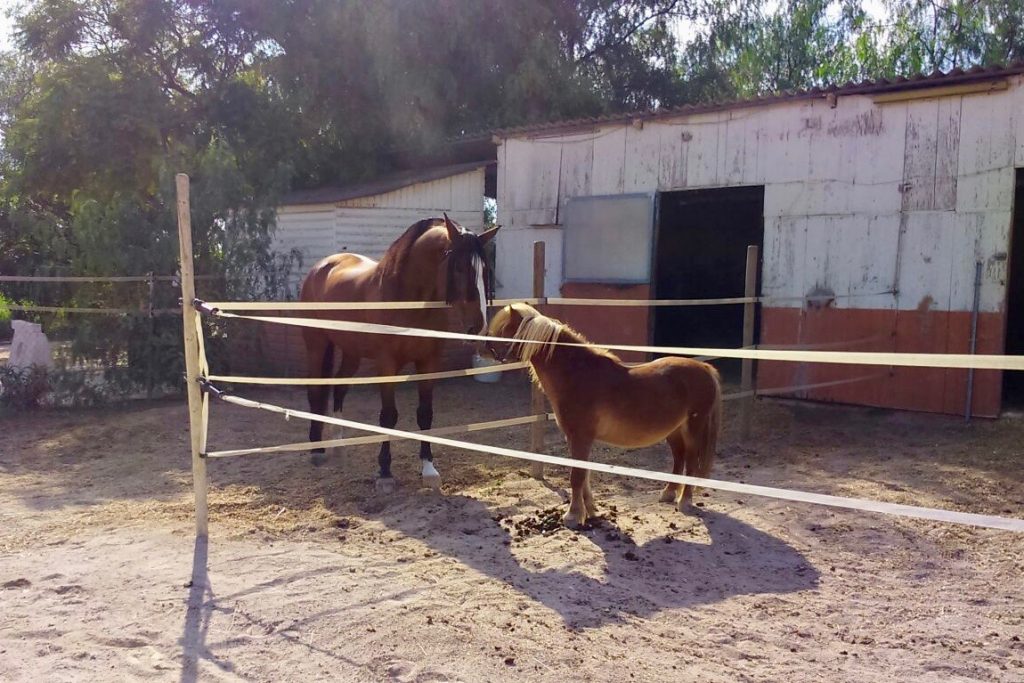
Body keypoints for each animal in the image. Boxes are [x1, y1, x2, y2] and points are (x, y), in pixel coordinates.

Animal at [299, 214, 499, 493]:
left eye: (484, 271)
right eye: (459, 268)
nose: (478, 327)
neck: (407, 299)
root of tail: (322, 266)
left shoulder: (428, 362)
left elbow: (425, 414)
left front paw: (429, 469)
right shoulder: (387, 365)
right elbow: (388, 416)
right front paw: (384, 472)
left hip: (352, 352)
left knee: (339, 387)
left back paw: (339, 443)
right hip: (316, 345)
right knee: (315, 390)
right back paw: (317, 450)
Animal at [486, 303, 722, 527]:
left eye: (505, 330)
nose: (489, 350)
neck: (578, 375)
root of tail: (704, 367)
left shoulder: (581, 437)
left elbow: (576, 477)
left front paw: (572, 516)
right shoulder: (574, 438)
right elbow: (584, 475)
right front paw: (589, 510)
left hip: (693, 428)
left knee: (690, 460)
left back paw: (685, 502)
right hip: (673, 430)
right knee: (679, 457)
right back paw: (668, 493)